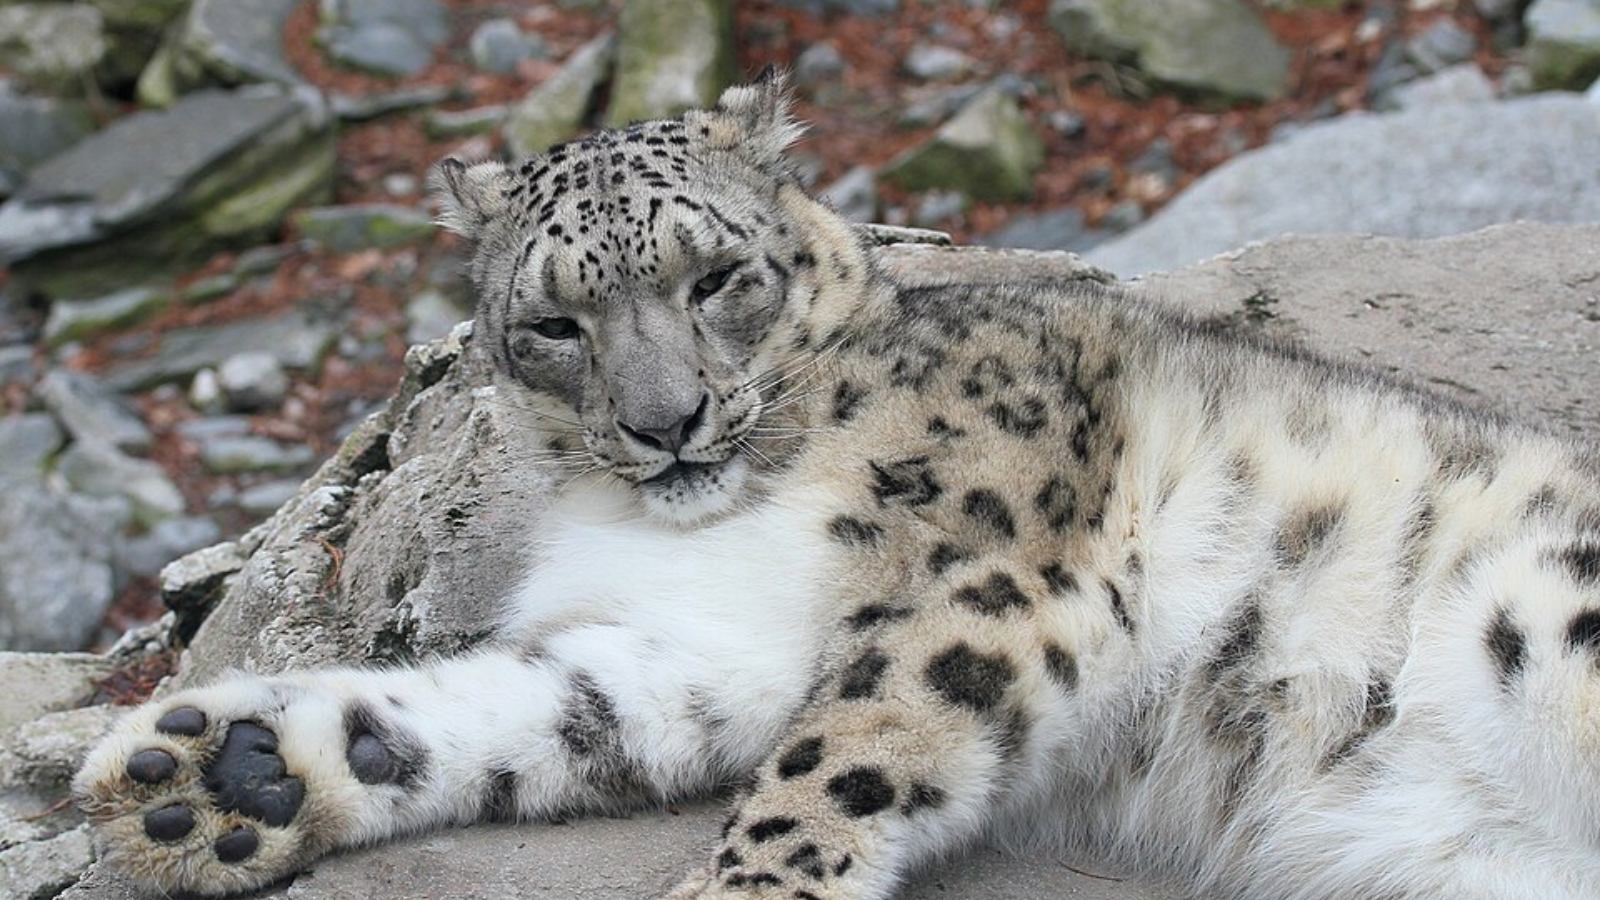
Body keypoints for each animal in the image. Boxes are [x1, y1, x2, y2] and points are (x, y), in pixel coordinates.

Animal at [74, 73, 1600, 900]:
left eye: (714, 277)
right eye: (555, 322)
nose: (667, 425)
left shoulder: (987, 572)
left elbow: (841, 755)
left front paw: (731, 880)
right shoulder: (696, 650)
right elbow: (522, 711)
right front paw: (229, 772)